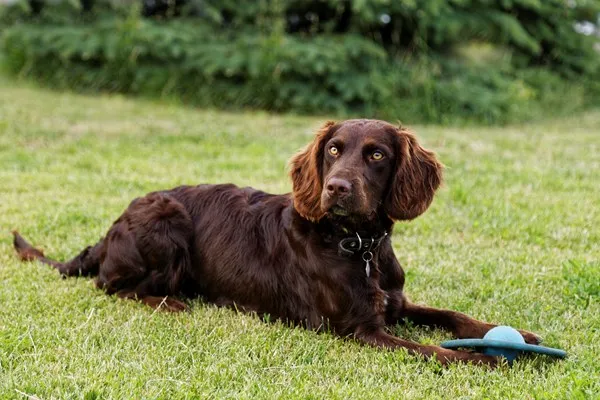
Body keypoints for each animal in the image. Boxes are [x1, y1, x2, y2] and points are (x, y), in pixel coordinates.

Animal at [11, 119, 540, 366]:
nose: (336, 188)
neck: (357, 244)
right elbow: (435, 350)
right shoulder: (358, 329)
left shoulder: (394, 303)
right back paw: (171, 303)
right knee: (112, 286)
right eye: (333, 150)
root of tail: (110, 229)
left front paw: (517, 336)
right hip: (165, 220)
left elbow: (451, 316)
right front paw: (487, 362)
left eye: (376, 155)